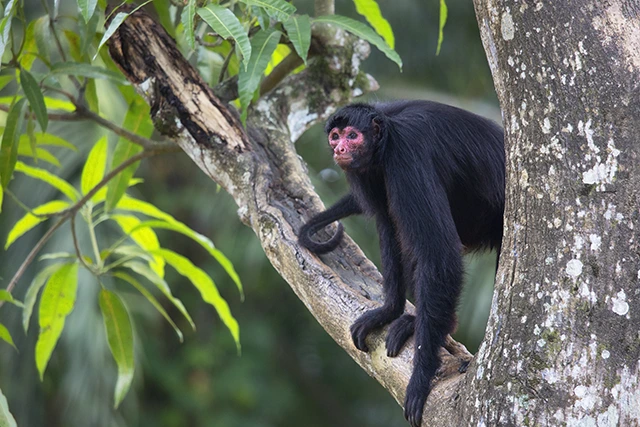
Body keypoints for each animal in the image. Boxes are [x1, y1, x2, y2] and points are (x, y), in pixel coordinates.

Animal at [298, 101, 504, 427]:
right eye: (335, 136)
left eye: (353, 136)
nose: (340, 148)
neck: (387, 136)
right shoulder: (368, 172)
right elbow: (388, 226)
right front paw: (388, 312)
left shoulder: (407, 156)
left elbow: (439, 254)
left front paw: (421, 379)